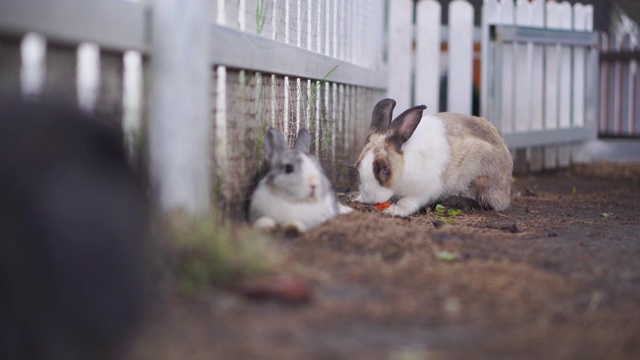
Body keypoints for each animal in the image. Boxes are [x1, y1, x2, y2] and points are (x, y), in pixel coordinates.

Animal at [356, 97, 516, 217]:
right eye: (358, 167)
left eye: (385, 169)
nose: (370, 198)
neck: (404, 164)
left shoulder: (423, 191)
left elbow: (408, 202)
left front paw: (394, 210)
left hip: (482, 179)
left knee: (487, 203)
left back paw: (456, 202)